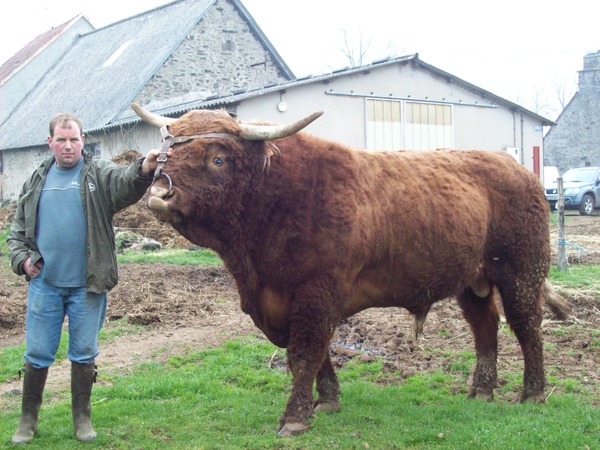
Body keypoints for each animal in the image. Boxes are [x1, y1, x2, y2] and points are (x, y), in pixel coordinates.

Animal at [132, 102, 572, 436]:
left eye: (218, 158)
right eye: (165, 151)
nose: (159, 192)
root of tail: (516, 168)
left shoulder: (317, 292)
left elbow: (305, 352)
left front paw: (295, 418)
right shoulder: (287, 300)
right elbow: (315, 353)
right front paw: (326, 401)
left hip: (520, 270)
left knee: (526, 325)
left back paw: (532, 393)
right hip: (472, 281)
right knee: (485, 327)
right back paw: (481, 390)